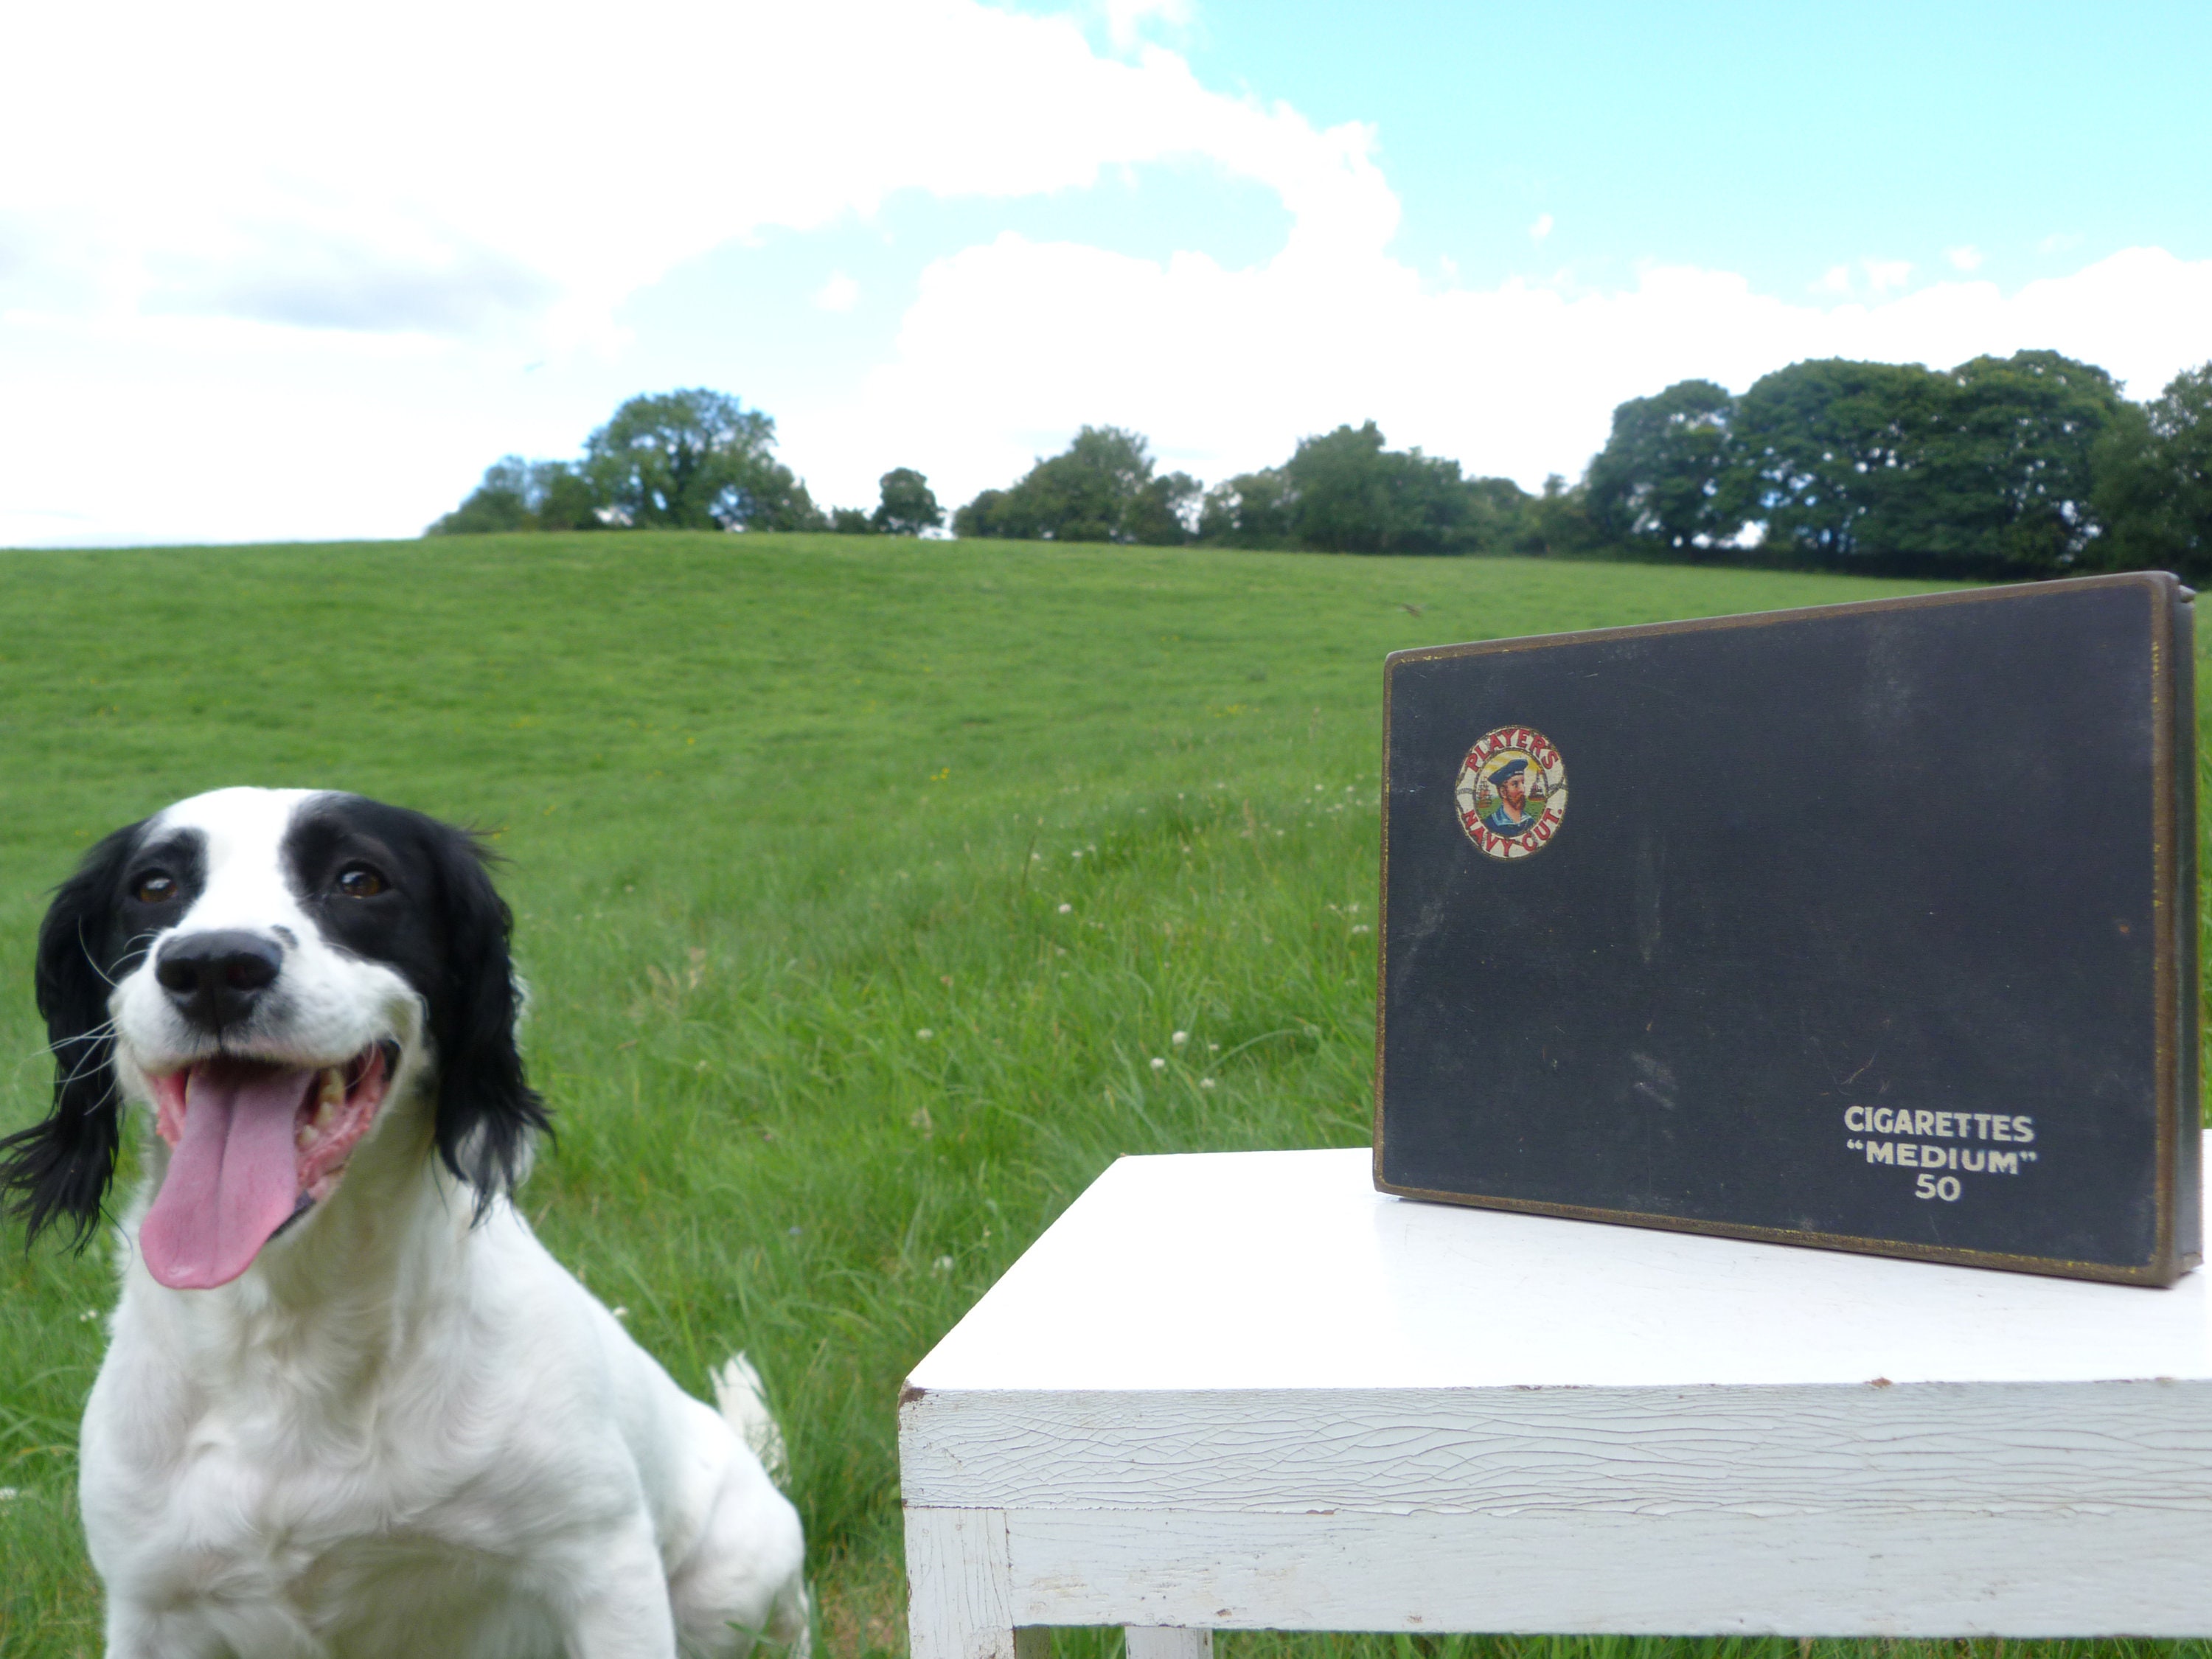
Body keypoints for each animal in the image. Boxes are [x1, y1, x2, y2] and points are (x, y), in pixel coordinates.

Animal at [0, 792, 814, 1659]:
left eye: (360, 879)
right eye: (154, 886)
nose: (214, 966)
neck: (295, 1335)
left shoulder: (603, 1565)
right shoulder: (152, 1604)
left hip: (730, 1589)